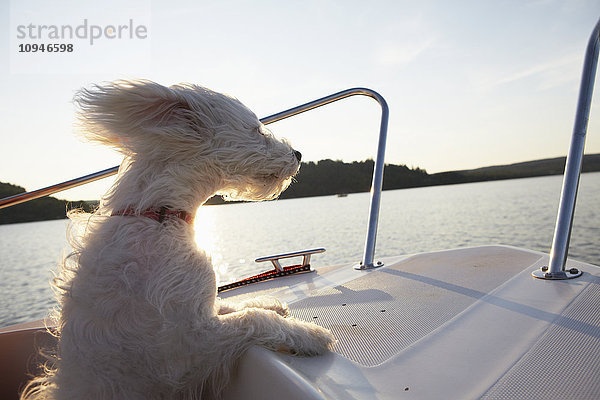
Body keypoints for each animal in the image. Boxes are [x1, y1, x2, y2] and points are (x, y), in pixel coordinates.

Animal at [22, 81, 332, 400]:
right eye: (256, 129)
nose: (298, 154)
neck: (158, 215)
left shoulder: (197, 307)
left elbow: (232, 304)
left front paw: (269, 302)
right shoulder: (190, 344)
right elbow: (254, 319)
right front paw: (310, 335)